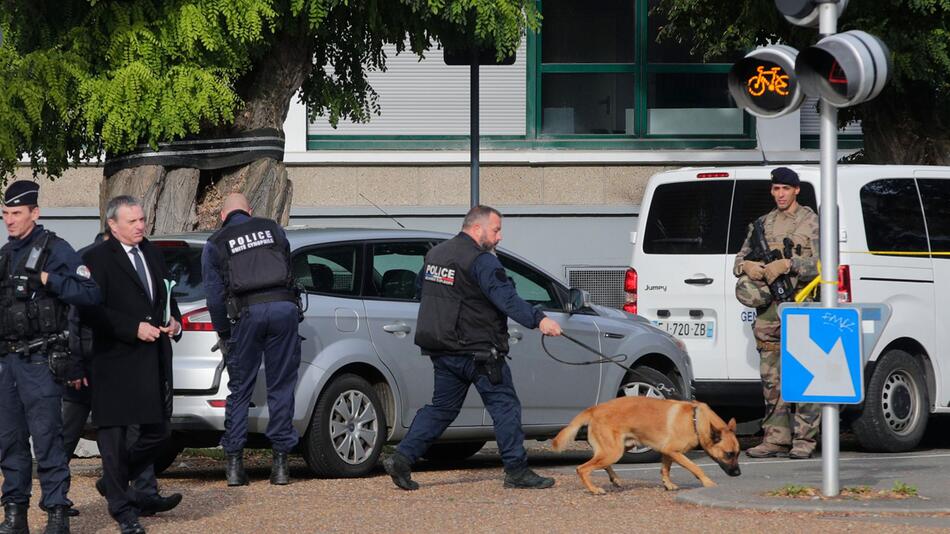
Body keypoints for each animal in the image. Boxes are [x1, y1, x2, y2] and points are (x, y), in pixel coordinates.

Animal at [0, 181, 102, 534]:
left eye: (17, 210)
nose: (9, 221)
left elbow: (86, 289)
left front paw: (38, 278)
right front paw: (13, 518)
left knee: (49, 450)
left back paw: (57, 519)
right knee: (15, 450)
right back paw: (14, 519)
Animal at [202, 195, 302, 488]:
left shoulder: (209, 254)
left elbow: (214, 295)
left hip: (246, 349)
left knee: (237, 397)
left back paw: (235, 470)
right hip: (281, 336)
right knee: (282, 390)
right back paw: (280, 468)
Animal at [384, 206, 564, 494]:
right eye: (496, 228)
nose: (499, 238)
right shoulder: (488, 268)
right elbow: (507, 298)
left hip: (449, 374)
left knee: (438, 411)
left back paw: (399, 467)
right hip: (487, 371)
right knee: (505, 408)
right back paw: (521, 475)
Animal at [552, 396, 744, 496]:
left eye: (738, 454)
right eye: (728, 454)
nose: (738, 474)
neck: (695, 420)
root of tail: (594, 409)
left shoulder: (668, 452)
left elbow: (665, 469)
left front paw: (668, 484)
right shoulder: (675, 452)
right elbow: (695, 467)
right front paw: (707, 482)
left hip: (619, 448)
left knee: (600, 464)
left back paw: (615, 479)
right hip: (614, 451)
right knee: (582, 468)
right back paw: (593, 489)